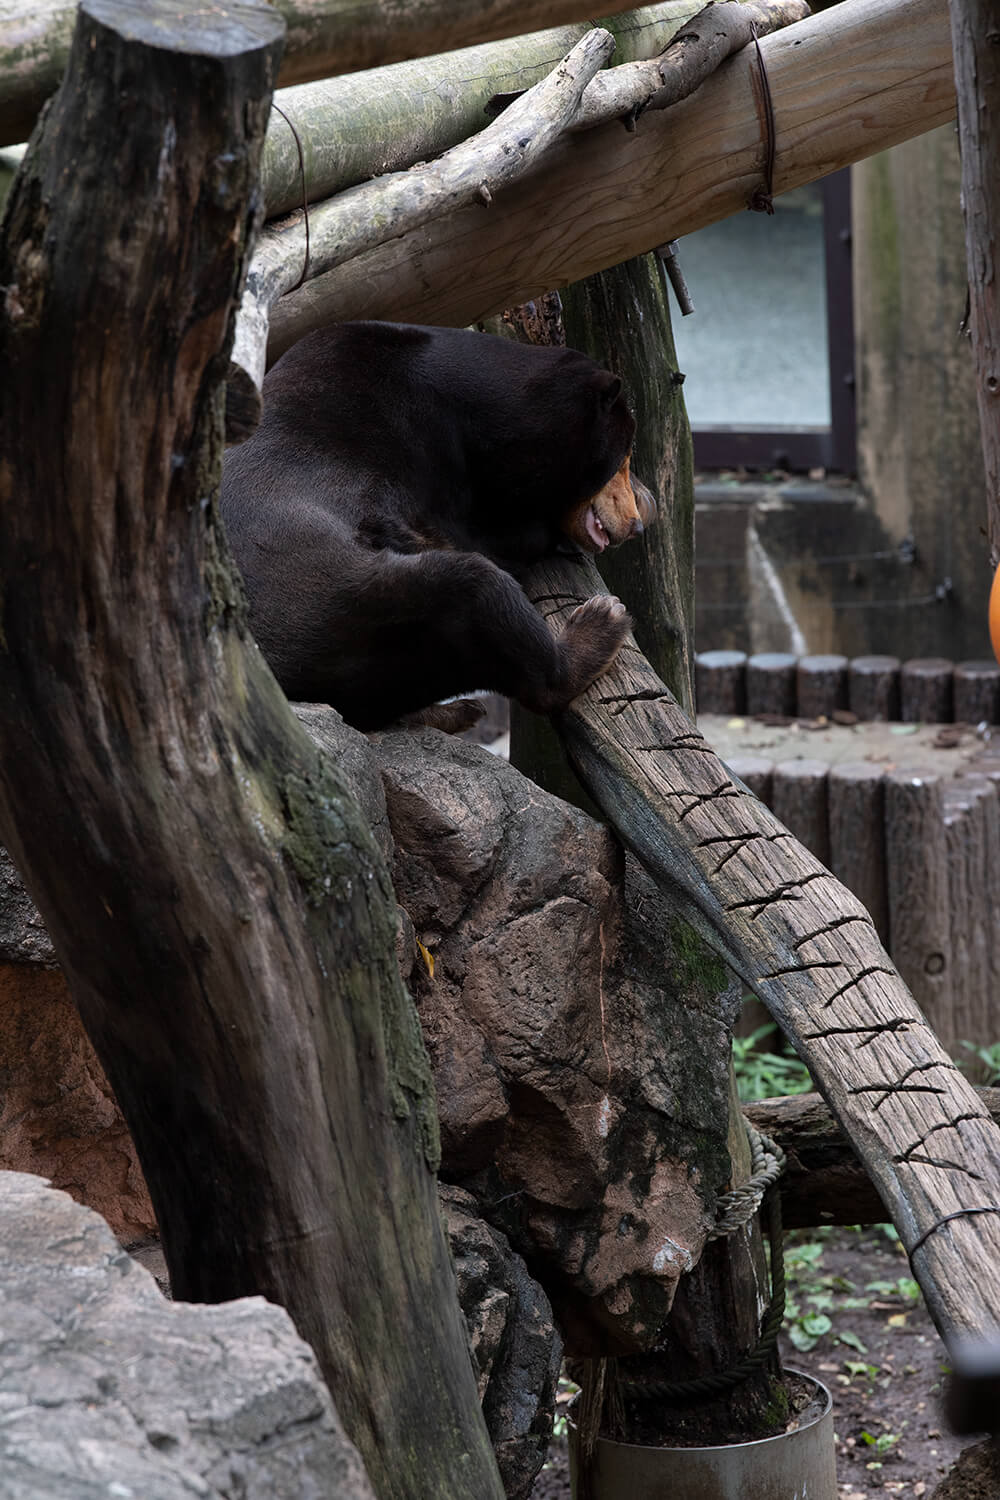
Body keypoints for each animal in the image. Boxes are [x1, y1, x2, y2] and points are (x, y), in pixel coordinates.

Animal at [220, 322, 656, 732]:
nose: (635, 525)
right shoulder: (434, 453)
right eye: (623, 456)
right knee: (475, 593)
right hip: (350, 606)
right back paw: (600, 623)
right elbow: (487, 534)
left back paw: (454, 711)